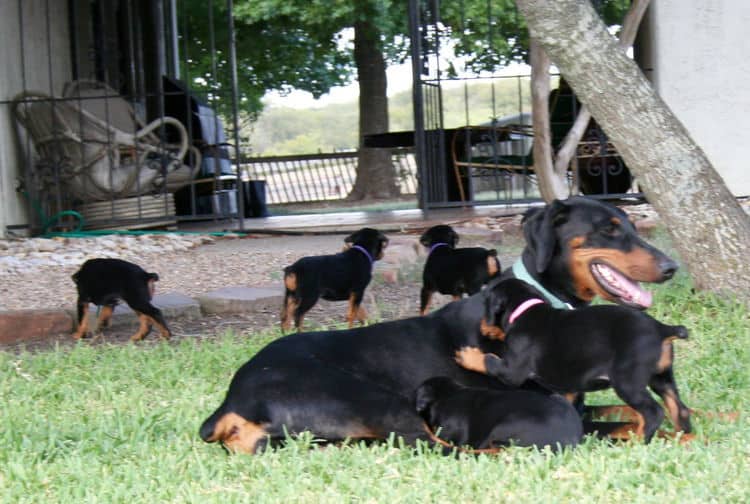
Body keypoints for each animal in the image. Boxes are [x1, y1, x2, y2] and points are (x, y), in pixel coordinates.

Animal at [452, 278, 692, 442]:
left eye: (486, 304)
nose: (481, 326)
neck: (524, 311)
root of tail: (661, 329)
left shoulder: (512, 371)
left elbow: (490, 361)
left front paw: (468, 356)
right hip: (661, 377)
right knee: (679, 408)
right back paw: (684, 436)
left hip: (627, 381)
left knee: (654, 412)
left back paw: (638, 440)